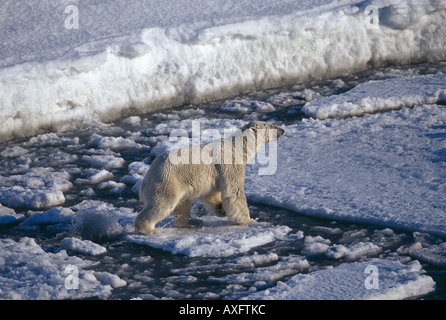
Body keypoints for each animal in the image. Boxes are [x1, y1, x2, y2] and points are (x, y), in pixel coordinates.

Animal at [134, 120, 284, 235]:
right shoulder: (229, 165)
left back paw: (192, 221)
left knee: (182, 204)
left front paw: (220, 208)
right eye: (272, 126)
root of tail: (146, 178)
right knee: (163, 203)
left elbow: (212, 193)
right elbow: (234, 191)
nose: (282, 130)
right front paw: (249, 220)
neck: (237, 148)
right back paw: (149, 229)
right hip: (167, 180)